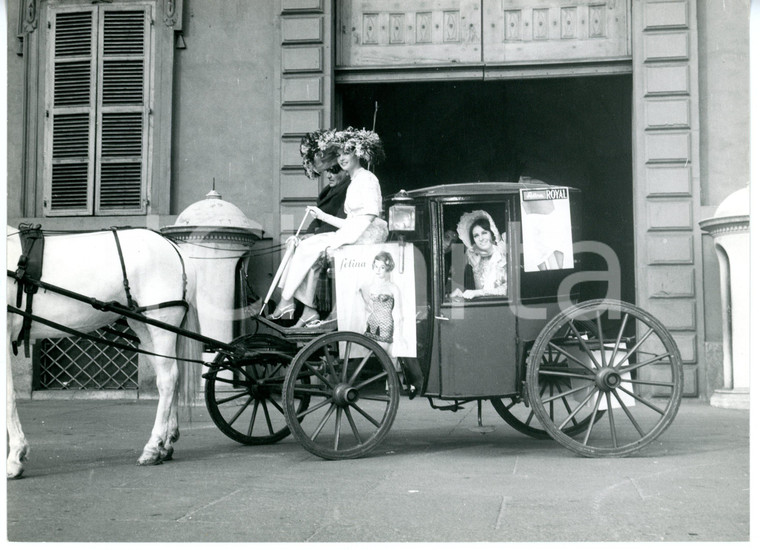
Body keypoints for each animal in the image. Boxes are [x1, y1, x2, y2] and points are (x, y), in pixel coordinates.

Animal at [6, 227, 202, 478]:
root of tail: (174, 247)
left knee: (168, 379)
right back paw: (166, 444)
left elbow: (8, 396)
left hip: (162, 323)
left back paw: (153, 447)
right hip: (143, 326)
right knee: (170, 376)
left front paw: (15, 458)